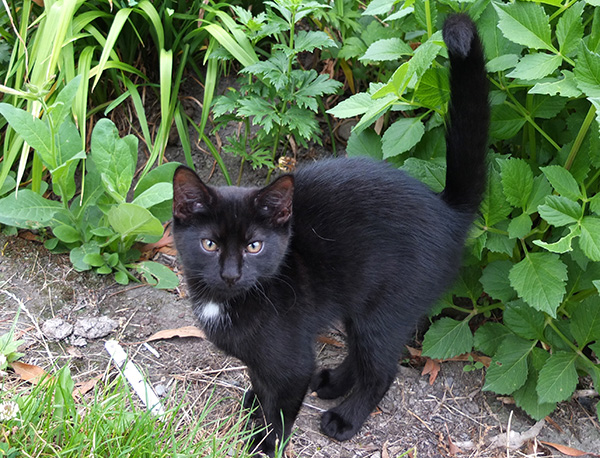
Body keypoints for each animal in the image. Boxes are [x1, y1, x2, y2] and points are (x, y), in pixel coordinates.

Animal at [171, 13, 490, 454]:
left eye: (254, 246)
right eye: (209, 244)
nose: (231, 274)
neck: (229, 302)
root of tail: (448, 211)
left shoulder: (291, 359)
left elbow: (282, 401)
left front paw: (267, 442)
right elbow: (260, 382)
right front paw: (253, 409)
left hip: (387, 307)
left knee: (381, 368)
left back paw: (345, 417)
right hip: (363, 303)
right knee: (361, 353)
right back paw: (332, 382)